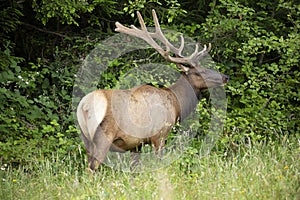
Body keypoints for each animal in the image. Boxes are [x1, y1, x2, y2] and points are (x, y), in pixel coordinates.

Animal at [76, 9, 229, 170]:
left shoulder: (136, 144)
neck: (176, 104)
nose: (226, 77)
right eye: (200, 72)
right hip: (103, 136)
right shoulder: (160, 135)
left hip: (85, 137)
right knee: (92, 168)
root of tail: (84, 106)